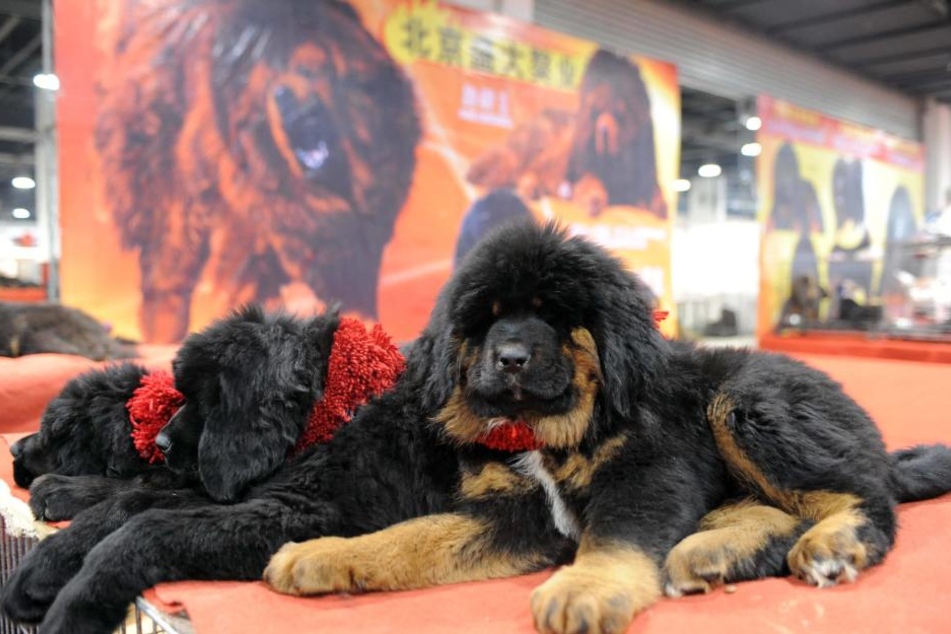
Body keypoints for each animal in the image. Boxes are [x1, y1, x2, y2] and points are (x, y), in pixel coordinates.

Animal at [262, 221, 951, 632]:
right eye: (486, 319)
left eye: (553, 316)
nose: (510, 358)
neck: (549, 432)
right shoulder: (516, 511)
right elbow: (413, 536)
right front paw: (324, 555)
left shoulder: (647, 471)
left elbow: (616, 537)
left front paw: (584, 589)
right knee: (779, 511)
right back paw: (710, 553)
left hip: (746, 401)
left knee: (867, 498)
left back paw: (831, 544)